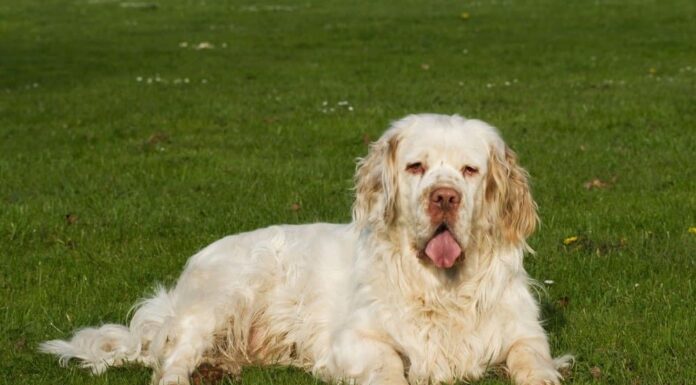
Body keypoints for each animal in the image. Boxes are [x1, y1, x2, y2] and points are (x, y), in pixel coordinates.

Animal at [39, 114, 572, 384]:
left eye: (469, 170)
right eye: (416, 167)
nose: (444, 198)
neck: (442, 287)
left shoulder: (525, 336)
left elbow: (533, 365)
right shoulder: (354, 341)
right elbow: (389, 365)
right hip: (223, 296)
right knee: (170, 365)